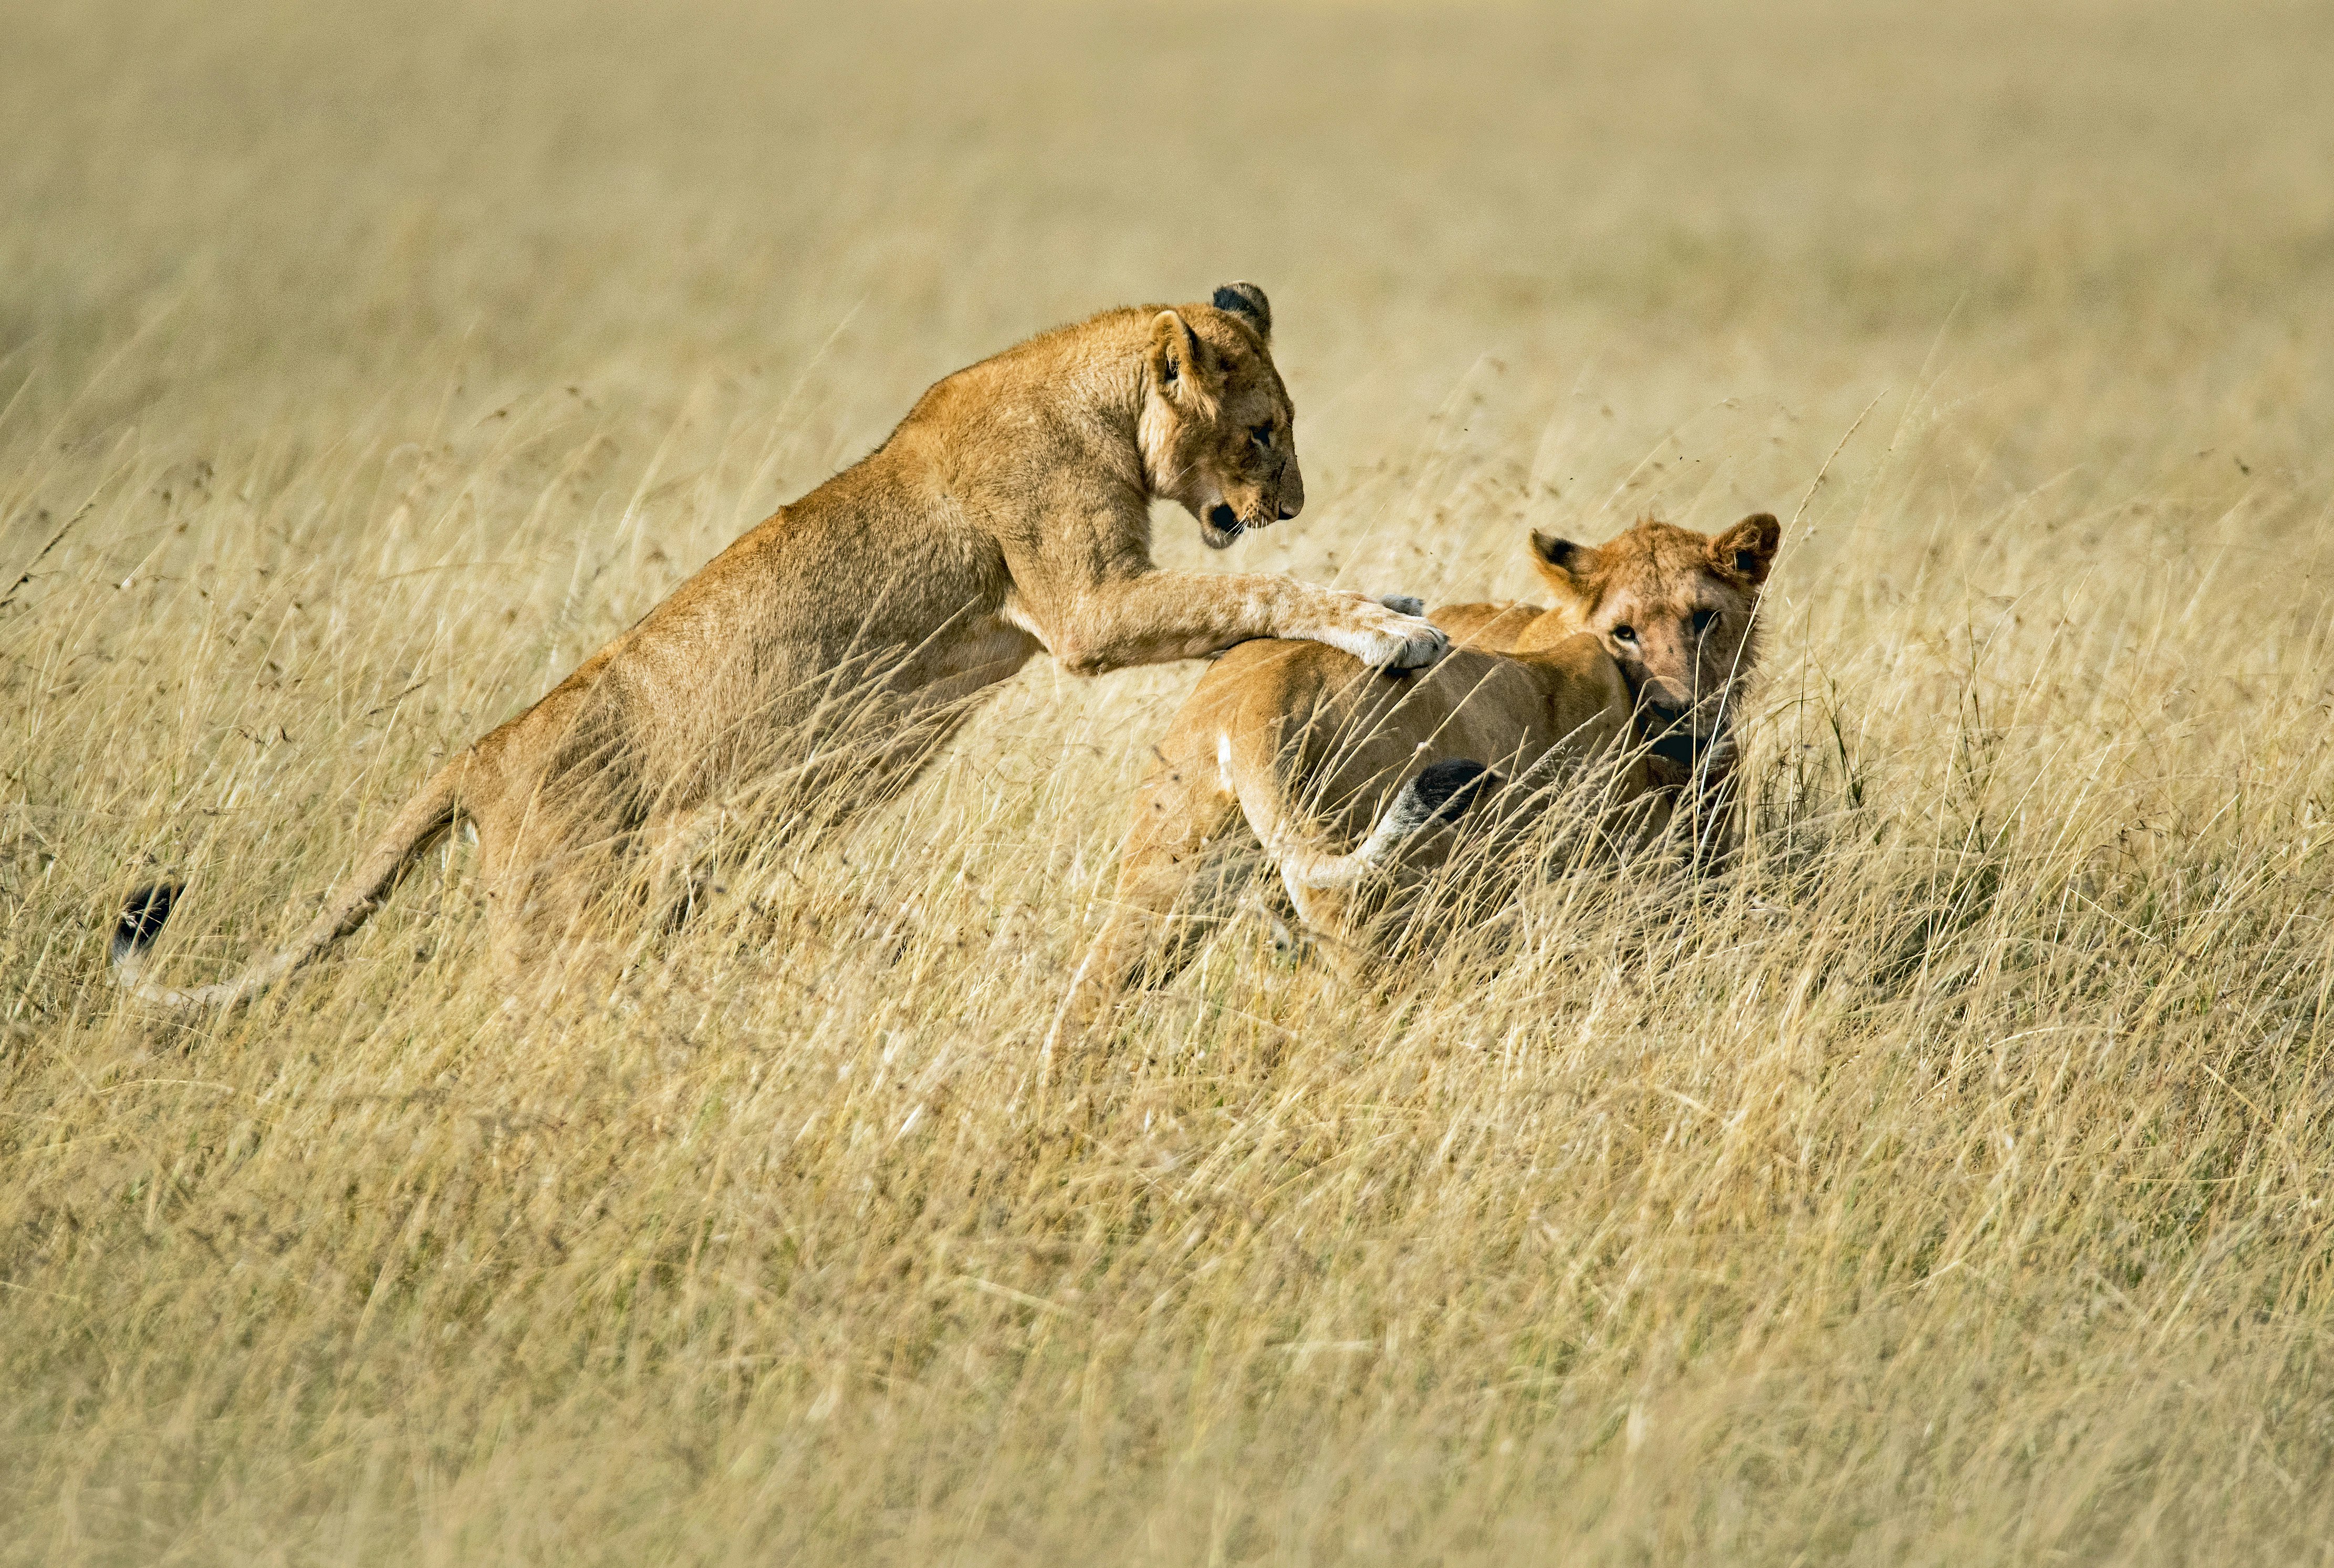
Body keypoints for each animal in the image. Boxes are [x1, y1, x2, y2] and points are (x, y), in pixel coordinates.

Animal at [123, 285, 1456, 1003]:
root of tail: (480, 752)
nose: (1291, 497)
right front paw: (1389, 624)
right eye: (1264, 429)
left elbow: (1244, 594)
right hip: (556, 920)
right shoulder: (1078, 610)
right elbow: (1258, 592)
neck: (1099, 401)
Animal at [1050, 513, 1774, 1045]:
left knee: (1089, 1002)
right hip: (1385, 916)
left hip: (1170, 878)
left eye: (1706, 618)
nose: (1681, 715)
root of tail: (1256, 699)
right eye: (1624, 631)